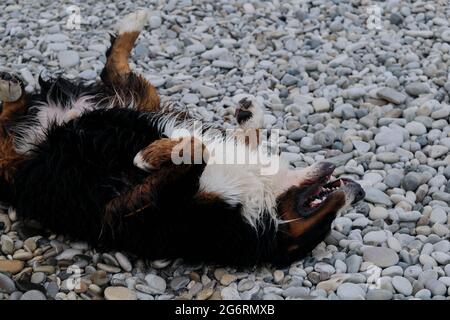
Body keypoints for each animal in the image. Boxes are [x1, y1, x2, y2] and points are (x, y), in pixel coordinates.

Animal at [0, 10, 364, 266]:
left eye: (326, 223)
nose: (359, 191)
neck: (260, 205)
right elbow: (232, 139)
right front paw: (249, 113)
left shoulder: (141, 208)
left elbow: (197, 152)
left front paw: (149, 155)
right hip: (134, 104)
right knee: (120, 74)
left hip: (20, 172)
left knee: (7, 137)